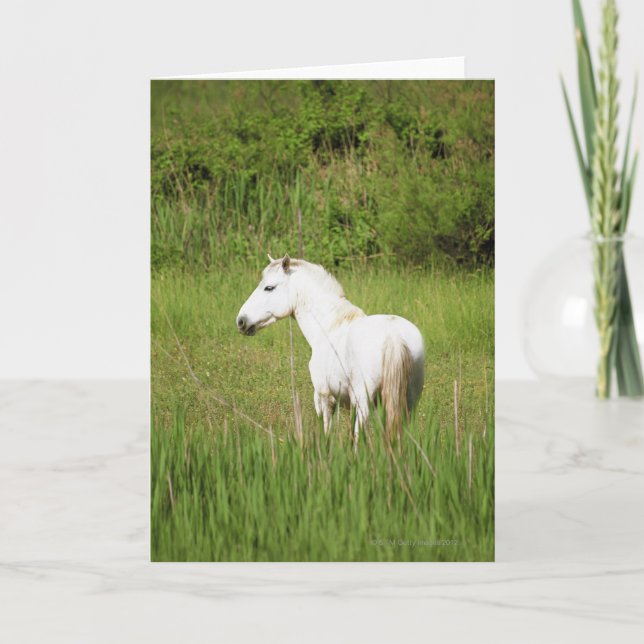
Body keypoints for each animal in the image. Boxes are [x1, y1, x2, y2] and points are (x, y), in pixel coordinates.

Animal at [236, 254, 424, 443]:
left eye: (269, 288)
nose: (241, 321)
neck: (329, 327)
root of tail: (394, 336)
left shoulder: (324, 397)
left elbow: (327, 432)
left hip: (365, 403)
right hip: (409, 403)